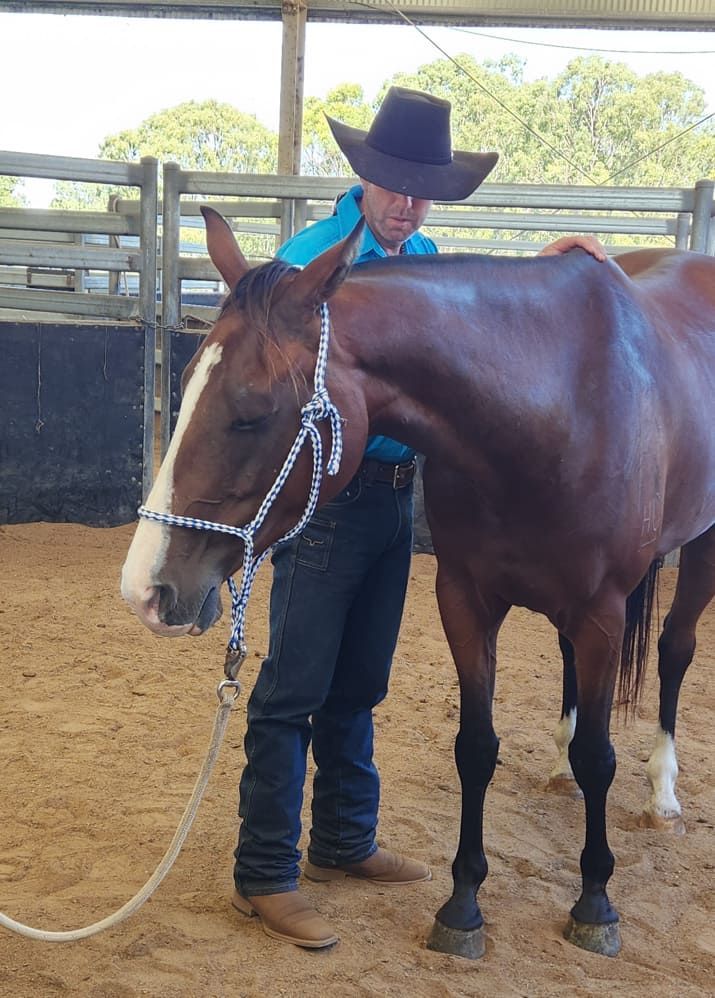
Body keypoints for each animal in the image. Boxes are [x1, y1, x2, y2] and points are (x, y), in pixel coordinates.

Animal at [121, 206, 715, 959]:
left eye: (251, 412)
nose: (146, 588)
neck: (561, 405)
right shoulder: (465, 600)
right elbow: (476, 748)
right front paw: (462, 906)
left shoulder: (601, 613)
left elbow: (599, 756)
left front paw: (595, 902)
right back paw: (558, 766)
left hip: (699, 549)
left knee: (673, 651)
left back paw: (662, 792)